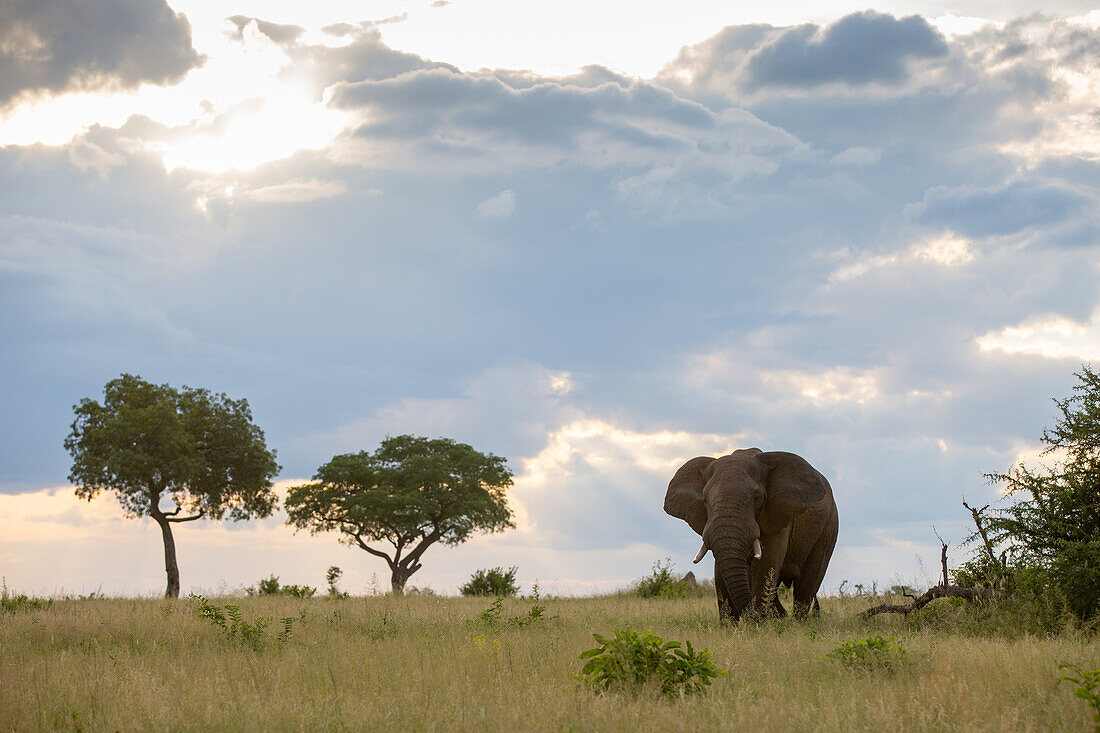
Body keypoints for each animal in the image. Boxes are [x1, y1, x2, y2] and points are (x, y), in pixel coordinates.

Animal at [664, 444, 836, 616]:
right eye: (705, 500)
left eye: (756, 498)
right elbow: (720, 571)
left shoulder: (778, 514)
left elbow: (765, 565)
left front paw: (757, 620)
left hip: (828, 527)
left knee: (806, 587)